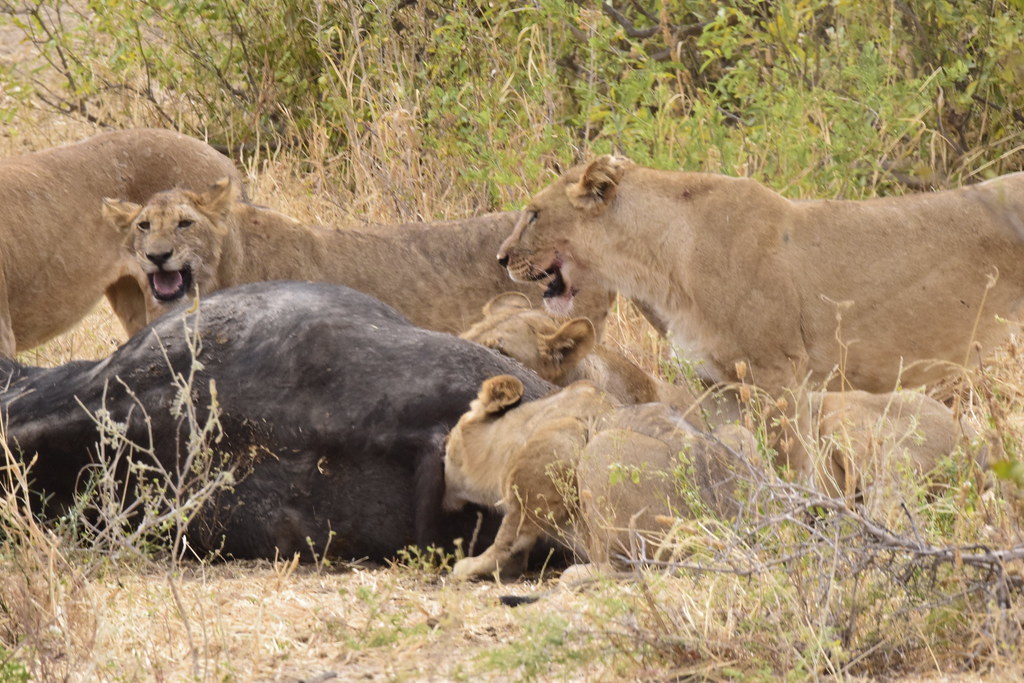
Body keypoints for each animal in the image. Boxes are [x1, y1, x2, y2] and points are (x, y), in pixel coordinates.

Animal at [442, 374, 761, 580]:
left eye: (447, 444)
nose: (443, 494)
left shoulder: (560, 443)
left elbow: (509, 533)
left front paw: (472, 566)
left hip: (600, 449)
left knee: (632, 567)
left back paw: (578, 574)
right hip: (738, 434)